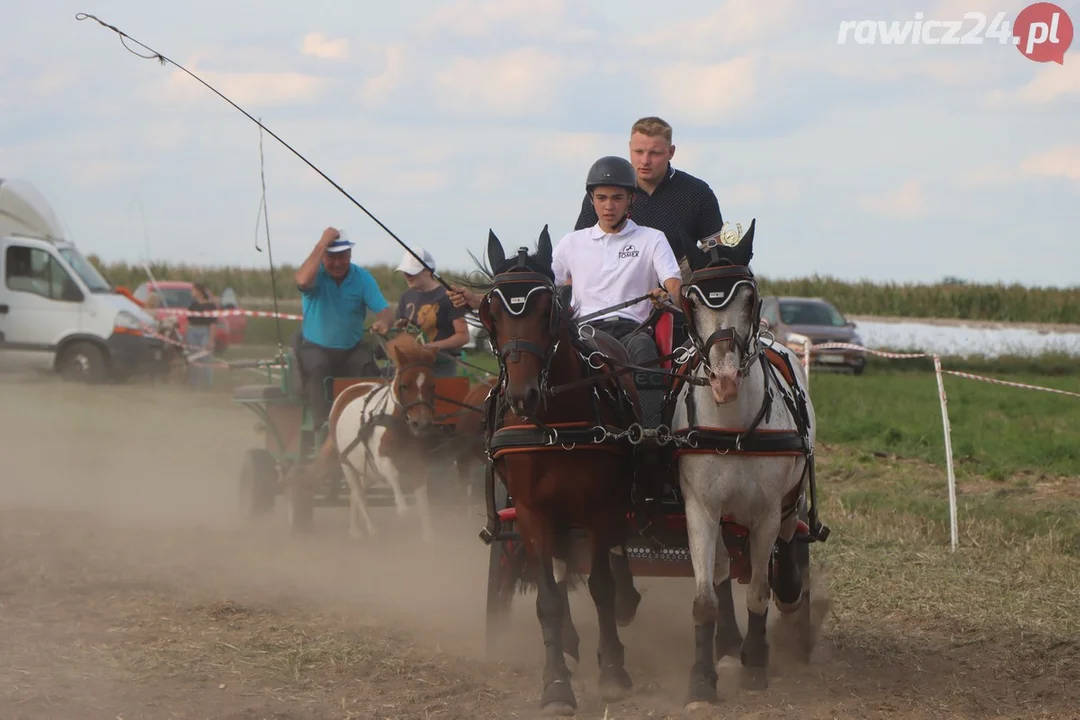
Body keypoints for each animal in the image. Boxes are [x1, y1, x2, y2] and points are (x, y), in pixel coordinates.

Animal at [313, 334, 442, 544]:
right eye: (404, 385)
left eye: (432, 385)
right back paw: (372, 530)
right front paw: (402, 508)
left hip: (367, 470)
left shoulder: (417, 462)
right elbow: (394, 475)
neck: (397, 424)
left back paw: (355, 529)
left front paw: (430, 537)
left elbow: (423, 501)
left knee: (356, 493)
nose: (421, 423)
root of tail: (349, 390)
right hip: (347, 464)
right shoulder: (382, 460)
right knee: (358, 493)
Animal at [477, 226, 643, 716]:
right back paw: (569, 639)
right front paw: (555, 684)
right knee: (558, 563)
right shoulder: (533, 512)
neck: (555, 423)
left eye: (546, 308)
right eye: (492, 311)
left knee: (611, 560)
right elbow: (548, 598)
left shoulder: (600, 504)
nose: (522, 395)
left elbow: (603, 584)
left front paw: (613, 670)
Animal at [665, 221, 825, 716]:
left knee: (787, 549)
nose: (724, 379)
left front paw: (756, 666)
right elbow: (705, 597)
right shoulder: (699, 509)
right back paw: (728, 644)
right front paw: (702, 680)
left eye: (750, 298)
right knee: (720, 571)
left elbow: (757, 590)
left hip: (790, 501)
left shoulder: (767, 513)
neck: (733, 427)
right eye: (692, 300)